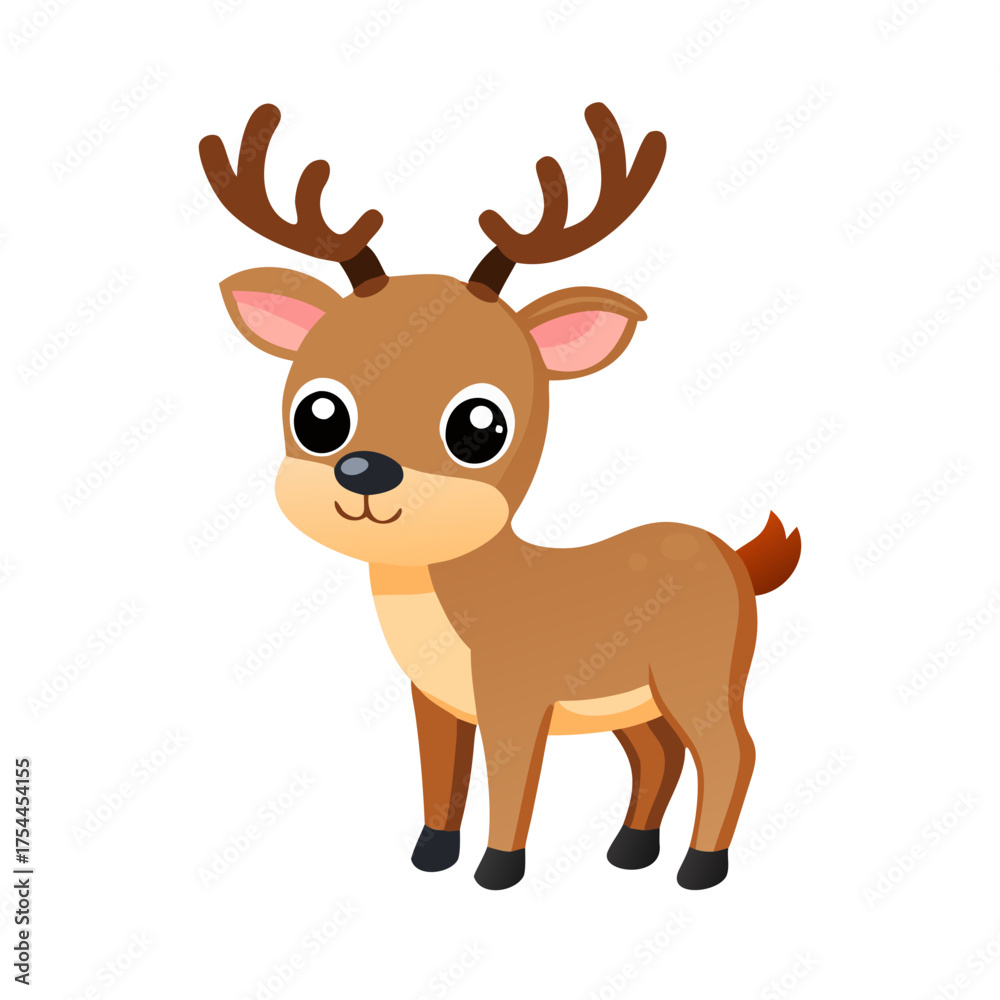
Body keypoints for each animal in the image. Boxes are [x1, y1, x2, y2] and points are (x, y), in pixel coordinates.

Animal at [199, 102, 801, 891]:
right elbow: (439, 777)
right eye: (319, 414)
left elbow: (512, 784)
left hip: (697, 677)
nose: (365, 472)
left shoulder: (516, 699)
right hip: (635, 699)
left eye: (480, 426)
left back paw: (700, 866)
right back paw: (629, 851)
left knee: (733, 751)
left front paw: (497, 869)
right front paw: (431, 855)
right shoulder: (435, 699)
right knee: (660, 754)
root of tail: (735, 557)